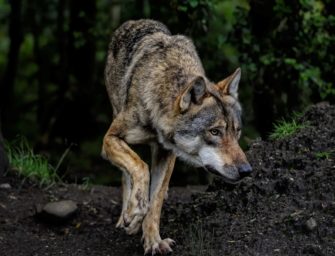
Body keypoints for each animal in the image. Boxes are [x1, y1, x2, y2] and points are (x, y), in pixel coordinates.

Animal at [101, 19, 252, 254]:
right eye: (215, 132)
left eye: (236, 132)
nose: (247, 171)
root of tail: (133, 22)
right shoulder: (110, 138)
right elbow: (140, 167)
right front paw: (135, 211)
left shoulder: (167, 153)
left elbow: (155, 201)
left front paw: (153, 241)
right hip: (115, 117)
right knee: (126, 174)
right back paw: (126, 215)